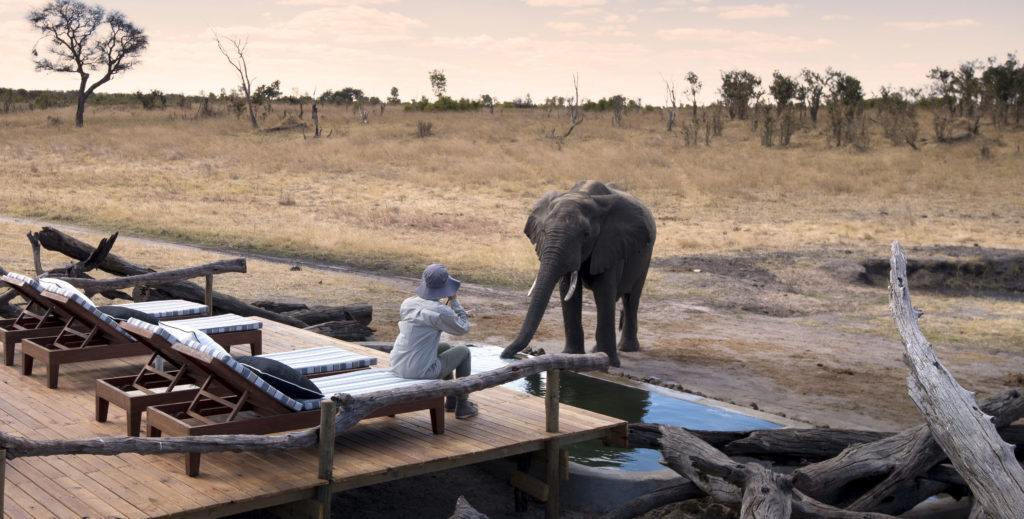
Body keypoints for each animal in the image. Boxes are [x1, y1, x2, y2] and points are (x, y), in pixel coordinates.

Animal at [500, 180, 656, 367]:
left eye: (586, 235)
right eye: (543, 231)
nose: (506, 356)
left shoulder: (610, 244)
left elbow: (604, 292)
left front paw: (610, 363)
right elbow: (568, 291)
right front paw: (571, 356)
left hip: (646, 255)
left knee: (631, 299)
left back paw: (626, 348)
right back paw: (597, 350)